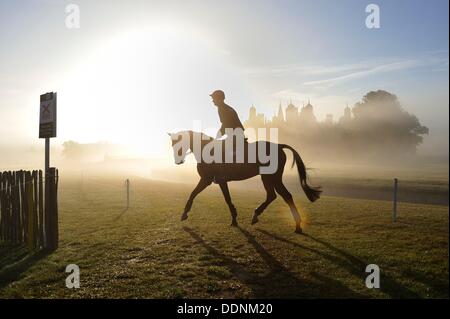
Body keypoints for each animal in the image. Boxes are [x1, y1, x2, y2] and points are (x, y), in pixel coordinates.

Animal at [168, 131, 320, 235]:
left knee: (283, 195)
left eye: (179, 143)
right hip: (269, 178)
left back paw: (296, 225)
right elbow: (226, 198)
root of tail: (279, 146)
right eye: (172, 144)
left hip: (270, 177)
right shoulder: (220, 181)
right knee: (275, 195)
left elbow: (193, 194)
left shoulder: (207, 180)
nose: (178, 161)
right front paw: (234, 219)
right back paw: (259, 216)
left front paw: (184, 214)